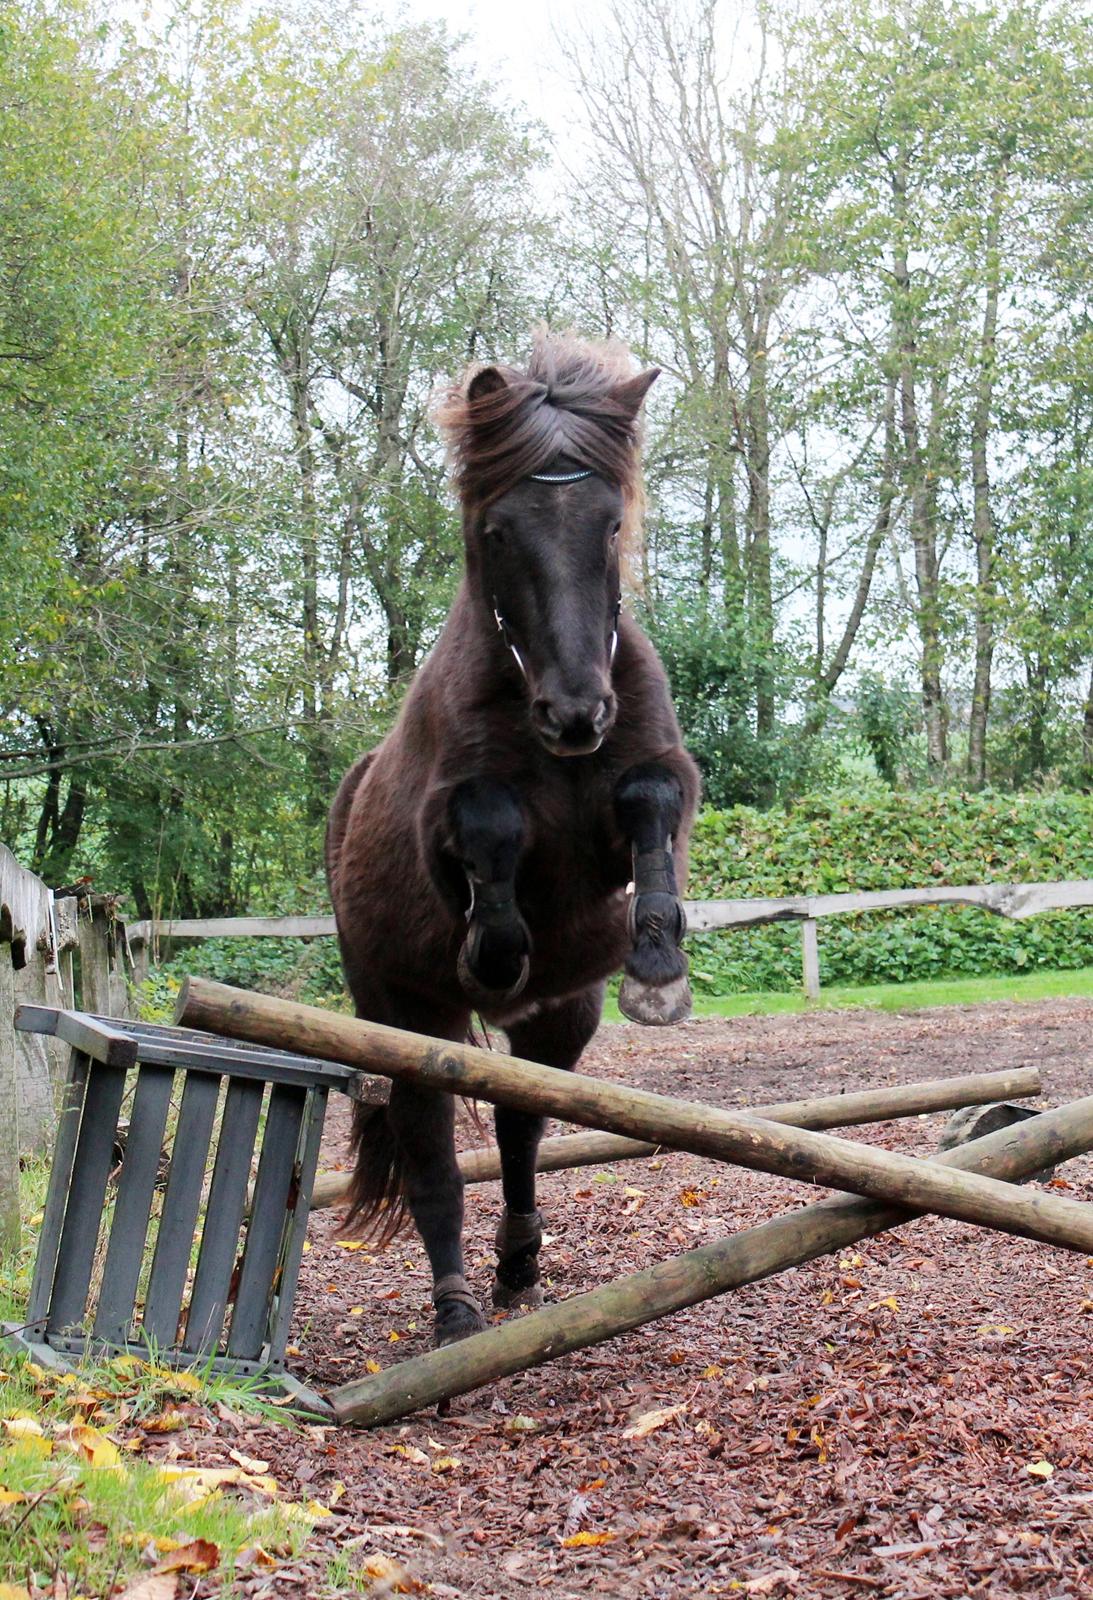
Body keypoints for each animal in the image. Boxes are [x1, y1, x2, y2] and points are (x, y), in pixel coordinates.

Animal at [326, 331, 700, 1344]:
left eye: (607, 525)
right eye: (498, 531)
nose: (576, 714)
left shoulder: (636, 802)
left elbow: (650, 802)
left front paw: (658, 964)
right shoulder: (451, 828)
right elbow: (487, 822)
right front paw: (494, 946)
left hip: (560, 1020)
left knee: (522, 1129)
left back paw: (519, 1268)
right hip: (404, 1015)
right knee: (431, 1159)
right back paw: (456, 1309)